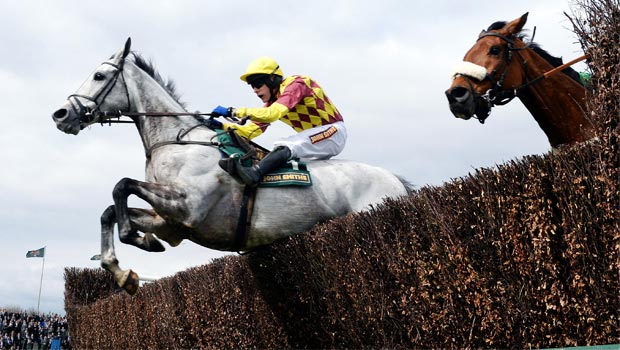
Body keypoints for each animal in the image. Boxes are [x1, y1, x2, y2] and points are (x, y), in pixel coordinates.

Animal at [52, 38, 412, 294]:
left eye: (99, 75)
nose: (61, 114)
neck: (176, 141)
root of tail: (398, 183)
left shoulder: (188, 207)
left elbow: (122, 185)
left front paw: (135, 239)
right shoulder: (171, 223)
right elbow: (110, 210)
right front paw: (124, 270)